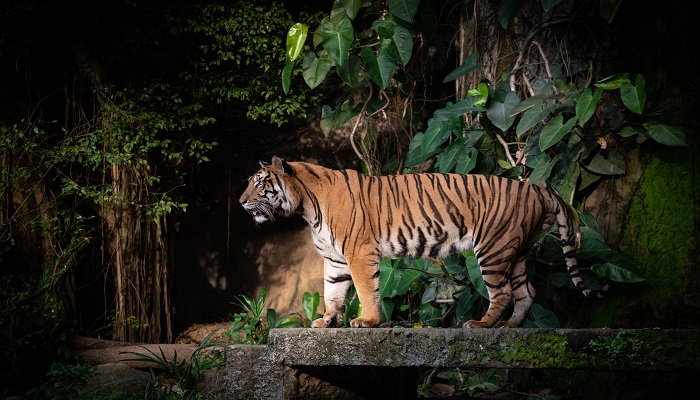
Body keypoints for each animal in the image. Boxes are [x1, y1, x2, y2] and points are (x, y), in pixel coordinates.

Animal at [239, 155, 596, 328]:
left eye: (259, 183)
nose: (241, 202)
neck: (306, 206)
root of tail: (536, 187)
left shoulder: (358, 252)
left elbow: (365, 290)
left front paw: (368, 322)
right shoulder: (335, 259)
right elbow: (332, 292)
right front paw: (327, 321)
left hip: (493, 249)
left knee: (505, 292)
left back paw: (481, 325)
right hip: (517, 251)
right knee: (527, 291)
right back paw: (509, 328)